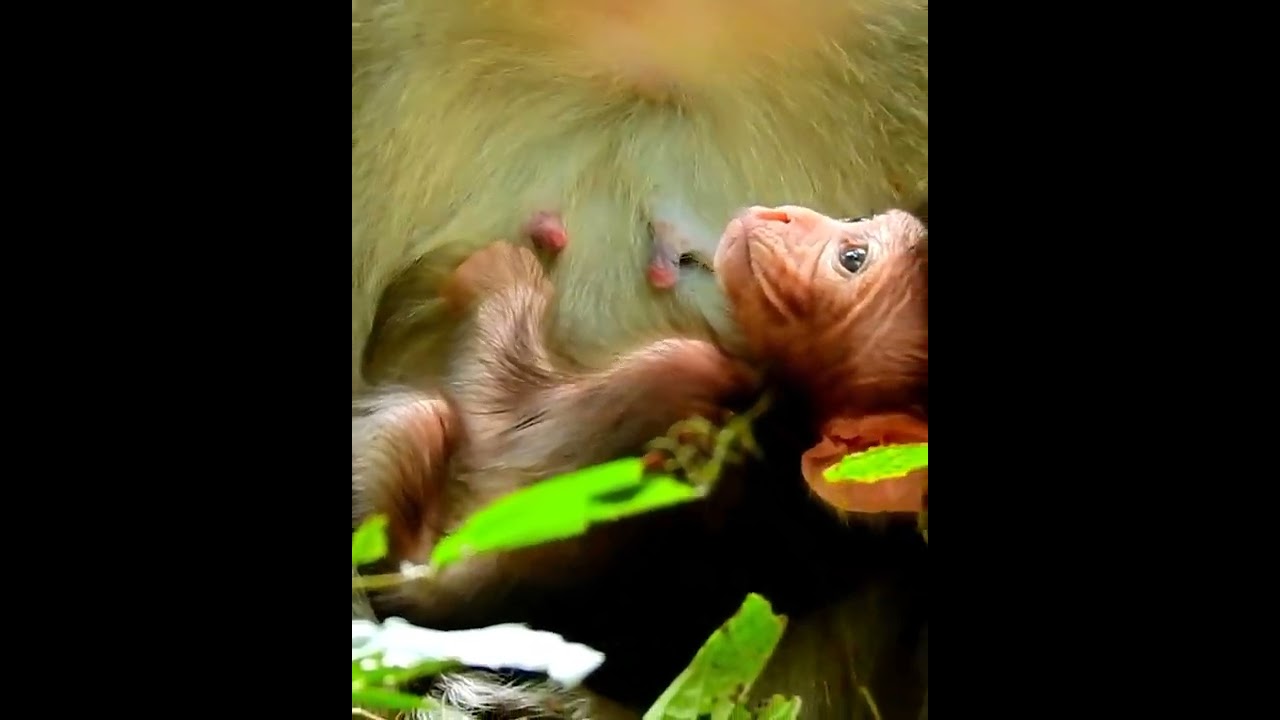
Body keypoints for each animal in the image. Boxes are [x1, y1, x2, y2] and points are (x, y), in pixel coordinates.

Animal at [353, 204, 928, 719]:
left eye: (853, 258)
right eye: (859, 226)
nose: (782, 215)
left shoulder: (671, 374)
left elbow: (493, 415)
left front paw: (495, 269)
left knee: (418, 420)